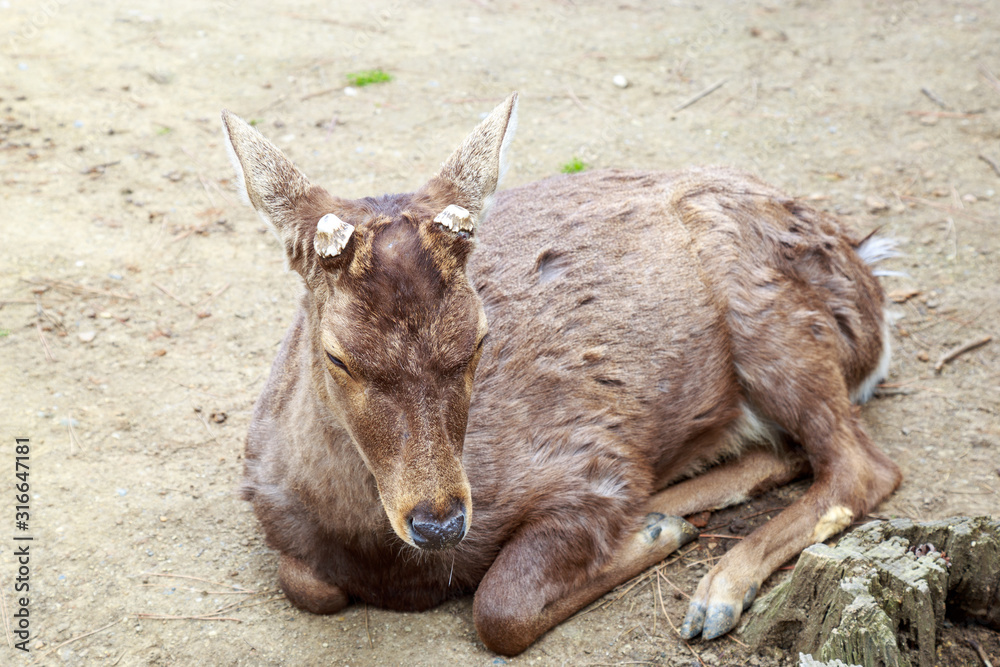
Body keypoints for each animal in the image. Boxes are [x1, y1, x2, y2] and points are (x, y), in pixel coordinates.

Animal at [221, 92, 902, 656]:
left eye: (479, 338)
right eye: (338, 355)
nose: (439, 522)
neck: (385, 562)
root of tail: (867, 270)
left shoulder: (593, 461)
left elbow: (498, 608)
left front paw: (647, 539)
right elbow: (305, 582)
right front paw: (653, 528)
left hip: (775, 321)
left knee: (861, 465)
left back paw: (713, 588)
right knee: (792, 450)